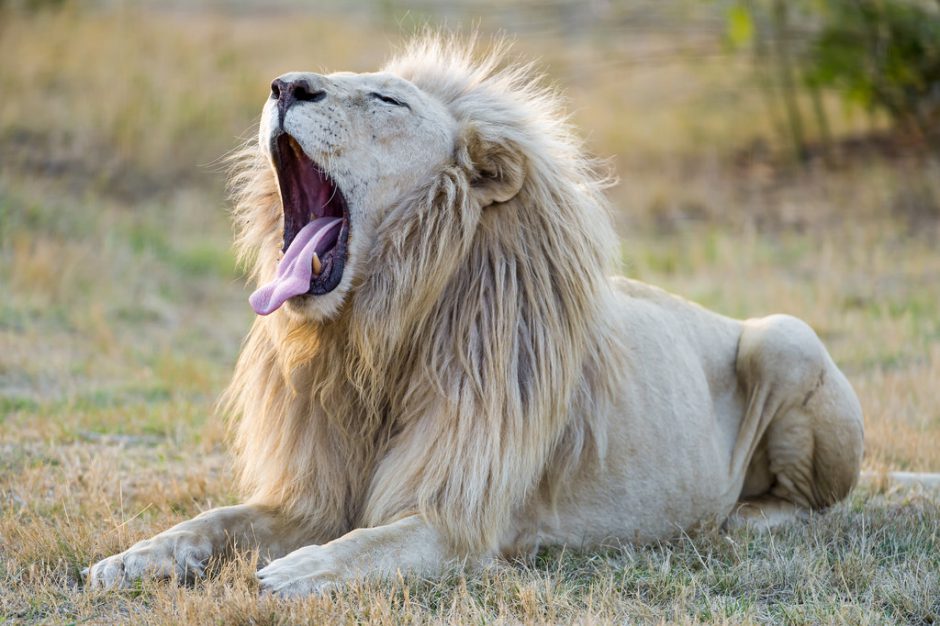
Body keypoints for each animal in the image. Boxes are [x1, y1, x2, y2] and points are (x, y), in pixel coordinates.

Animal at [86, 37, 860, 596]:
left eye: (385, 99)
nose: (284, 85)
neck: (378, 338)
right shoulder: (310, 498)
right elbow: (214, 521)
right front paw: (130, 560)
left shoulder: (459, 518)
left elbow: (370, 544)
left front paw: (297, 572)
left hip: (787, 336)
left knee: (814, 507)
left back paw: (737, 518)